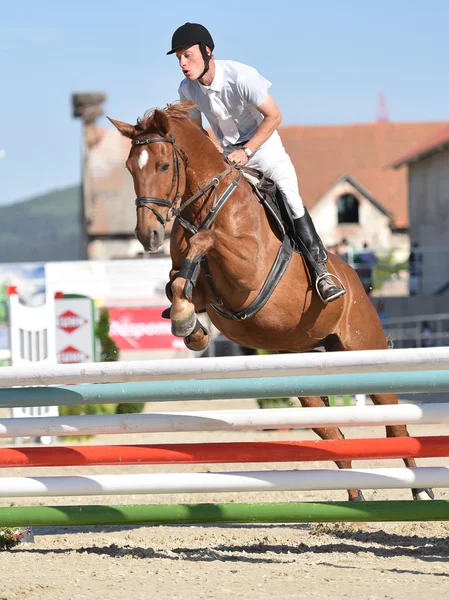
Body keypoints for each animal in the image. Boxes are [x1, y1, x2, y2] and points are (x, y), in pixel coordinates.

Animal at [107, 102, 430, 502]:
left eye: (164, 166)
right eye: (130, 167)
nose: (147, 235)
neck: (206, 208)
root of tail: (356, 284)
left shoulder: (248, 272)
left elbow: (205, 243)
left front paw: (187, 320)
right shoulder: (198, 286)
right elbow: (178, 283)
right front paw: (189, 327)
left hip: (363, 348)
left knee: (396, 425)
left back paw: (421, 493)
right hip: (301, 371)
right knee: (333, 433)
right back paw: (355, 496)